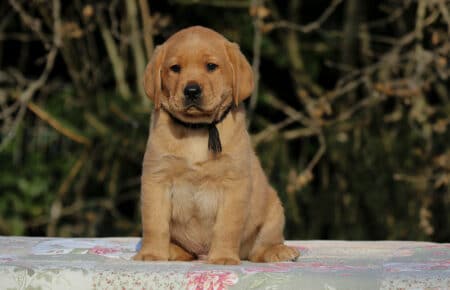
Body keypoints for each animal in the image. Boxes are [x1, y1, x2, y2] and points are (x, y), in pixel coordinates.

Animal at [135, 26, 300, 264]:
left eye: (211, 66)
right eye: (175, 68)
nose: (191, 90)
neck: (198, 129)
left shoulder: (234, 185)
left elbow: (226, 227)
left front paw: (223, 257)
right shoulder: (157, 178)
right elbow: (154, 223)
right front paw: (151, 254)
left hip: (274, 209)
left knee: (259, 248)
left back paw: (278, 251)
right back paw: (172, 251)